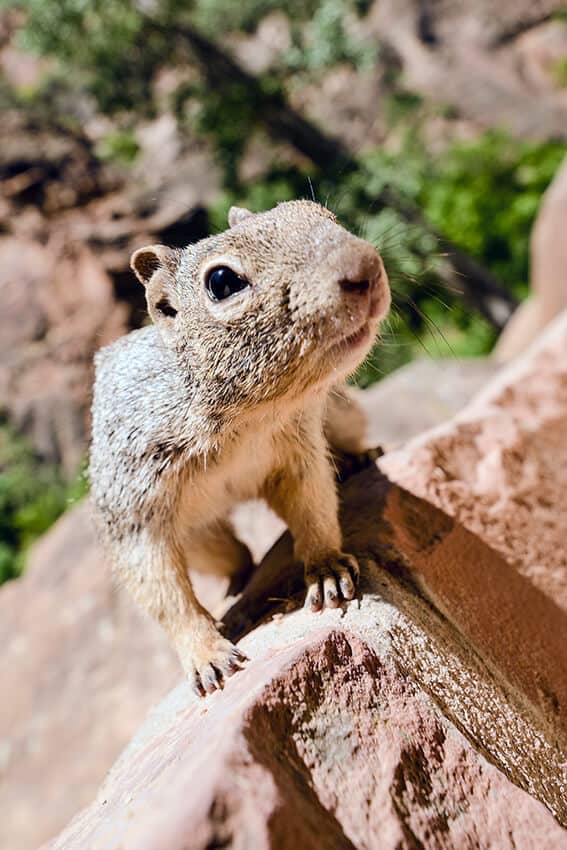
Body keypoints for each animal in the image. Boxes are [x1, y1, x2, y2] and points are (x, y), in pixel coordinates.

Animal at [90, 200, 390, 696]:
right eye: (222, 282)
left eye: (320, 213)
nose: (365, 266)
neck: (246, 422)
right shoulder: (134, 506)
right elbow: (164, 592)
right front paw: (207, 655)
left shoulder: (301, 452)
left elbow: (313, 508)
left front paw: (326, 568)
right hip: (201, 538)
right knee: (231, 554)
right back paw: (236, 582)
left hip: (343, 412)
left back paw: (359, 459)